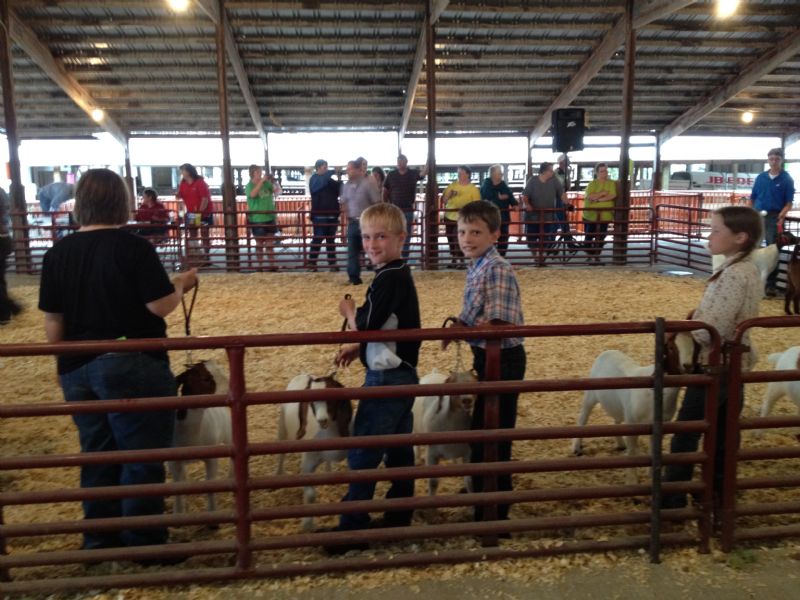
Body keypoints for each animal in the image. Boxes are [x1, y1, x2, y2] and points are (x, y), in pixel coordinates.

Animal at [169, 358, 231, 512]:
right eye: (205, 378)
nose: (228, 390)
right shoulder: (173, 462)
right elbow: (177, 487)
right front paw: (178, 512)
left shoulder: (211, 458)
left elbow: (210, 486)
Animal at [276, 372, 352, 532]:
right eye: (311, 402)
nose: (322, 420)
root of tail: (304, 374)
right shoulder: (308, 461)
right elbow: (310, 494)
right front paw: (308, 526)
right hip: (282, 427)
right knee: (281, 452)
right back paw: (279, 475)